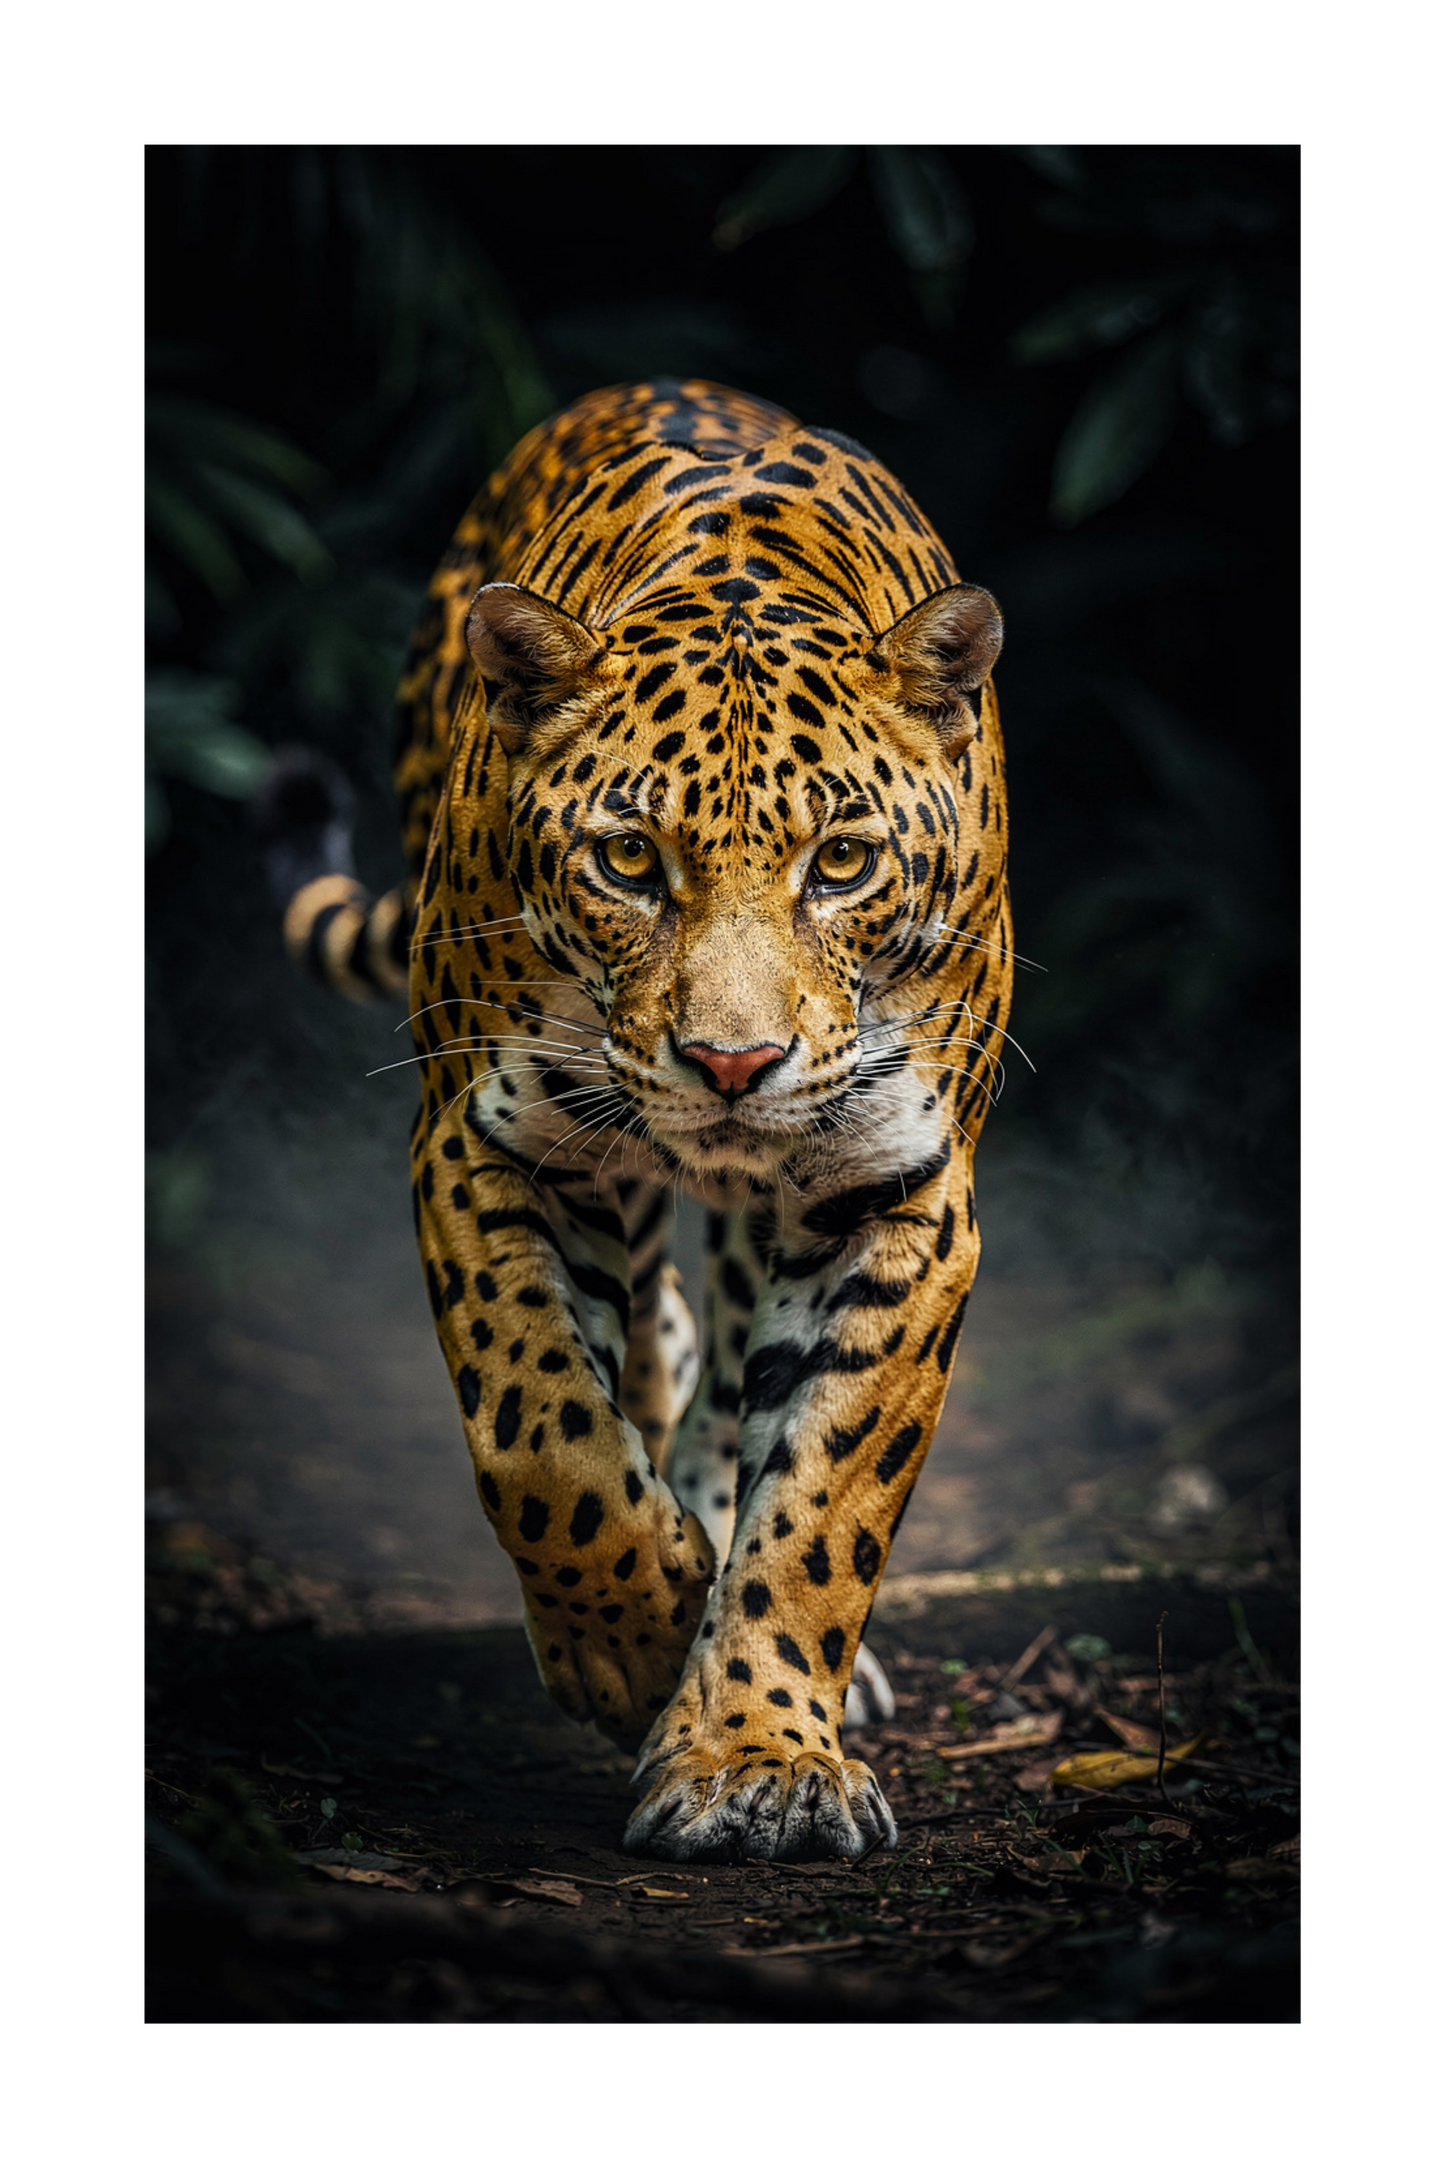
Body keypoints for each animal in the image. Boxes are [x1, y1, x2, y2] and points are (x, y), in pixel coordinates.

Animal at [277, 378, 1012, 1862]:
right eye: (627, 858)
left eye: (841, 862)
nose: (734, 1063)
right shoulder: (488, 1143)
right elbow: (540, 1432)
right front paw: (633, 1645)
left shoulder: (901, 1190)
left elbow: (826, 1491)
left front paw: (754, 1757)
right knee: (655, 1354)